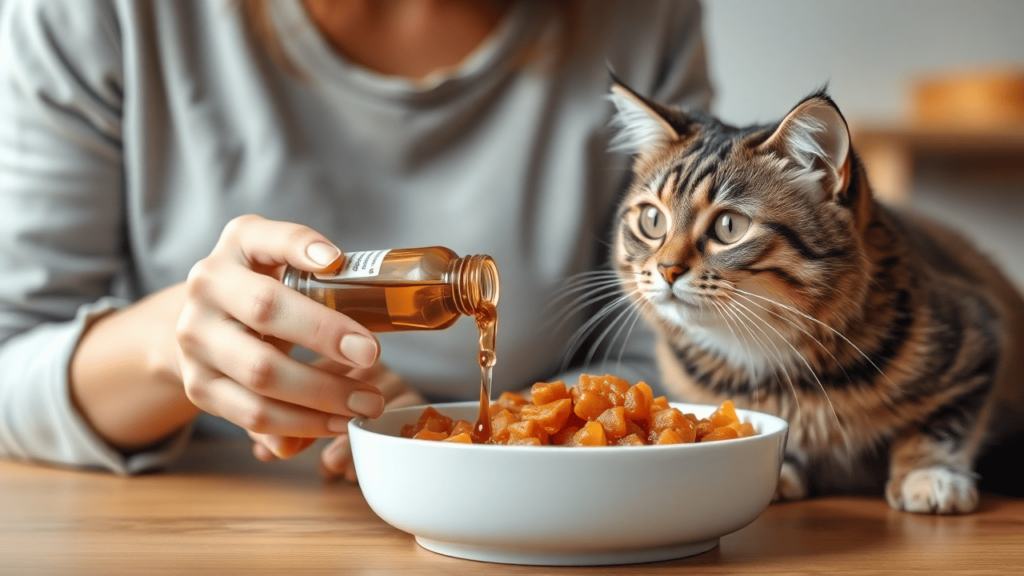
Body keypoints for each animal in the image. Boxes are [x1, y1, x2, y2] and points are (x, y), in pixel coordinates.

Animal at [602, 75, 1024, 510]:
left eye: (729, 227)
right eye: (652, 220)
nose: (667, 269)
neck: (764, 355)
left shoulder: (981, 334)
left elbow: (942, 424)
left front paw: (928, 474)